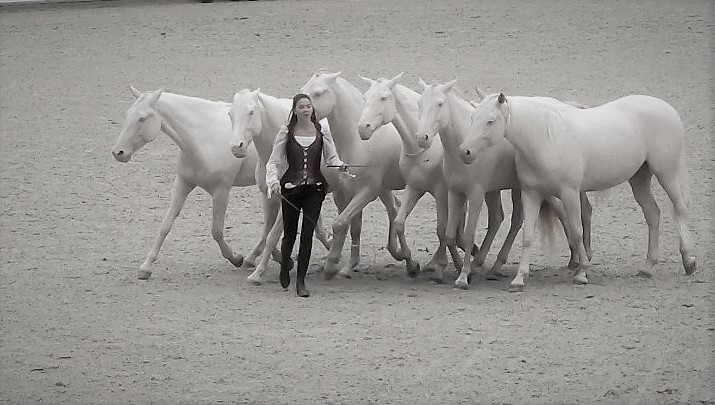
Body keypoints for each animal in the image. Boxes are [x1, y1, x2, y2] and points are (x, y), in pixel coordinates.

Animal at [114, 87, 262, 280]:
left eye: (142, 118)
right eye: (127, 114)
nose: (118, 152)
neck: (203, 137)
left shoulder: (221, 190)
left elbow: (216, 231)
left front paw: (235, 258)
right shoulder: (183, 183)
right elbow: (165, 225)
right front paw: (146, 267)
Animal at [298, 69, 420, 278]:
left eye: (319, 92)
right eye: (304, 89)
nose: (299, 116)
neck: (358, 143)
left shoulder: (367, 192)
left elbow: (340, 223)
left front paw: (331, 264)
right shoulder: (346, 191)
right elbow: (352, 227)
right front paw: (348, 266)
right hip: (384, 189)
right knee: (394, 209)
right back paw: (402, 256)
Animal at [360, 72, 512, 280]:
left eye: (383, 98)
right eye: (365, 97)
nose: (363, 128)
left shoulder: (442, 191)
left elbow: (443, 230)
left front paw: (444, 266)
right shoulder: (415, 187)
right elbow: (400, 223)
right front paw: (413, 265)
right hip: (492, 190)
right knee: (497, 218)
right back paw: (479, 259)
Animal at [414, 79, 592, 288]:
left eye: (440, 104)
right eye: (419, 104)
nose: (422, 137)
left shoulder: (476, 193)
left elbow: (469, 235)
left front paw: (464, 276)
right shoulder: (455, 192)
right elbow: (450, 235)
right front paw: (458, 268)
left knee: (573, 214)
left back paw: (580, 259)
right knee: (516, 220)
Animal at [462, 92, 696, 290]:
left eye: (491, 120)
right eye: (472, 118)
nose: (465, 151)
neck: (545, 137)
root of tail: (667, 108)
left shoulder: (570, 193)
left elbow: (576, 232)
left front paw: (582, 272)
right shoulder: (531, 194)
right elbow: (527, 236)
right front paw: (519, 279)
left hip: (666, 172)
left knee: (680, 209)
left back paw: (688, 261)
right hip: (639, 178)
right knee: (653, 214)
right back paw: (648, 267)